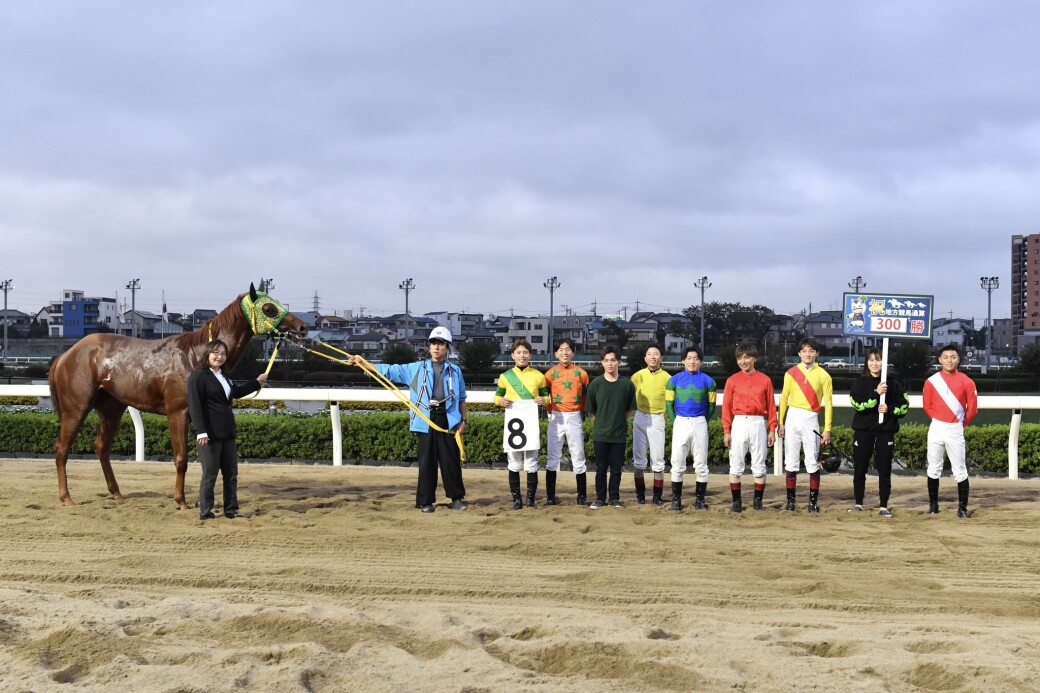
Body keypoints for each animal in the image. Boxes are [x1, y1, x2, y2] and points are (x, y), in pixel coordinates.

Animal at [48, 285, 305, 507]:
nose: (302, 327)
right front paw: (181, 501)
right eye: (269, 308)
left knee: (101, 447)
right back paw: (66, 497)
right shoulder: (178, 412)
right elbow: (181, 459)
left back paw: (117, 493)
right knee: (61, 448)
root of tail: (64, 356)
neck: (196, 355)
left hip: (112, 409)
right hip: (76, 409)